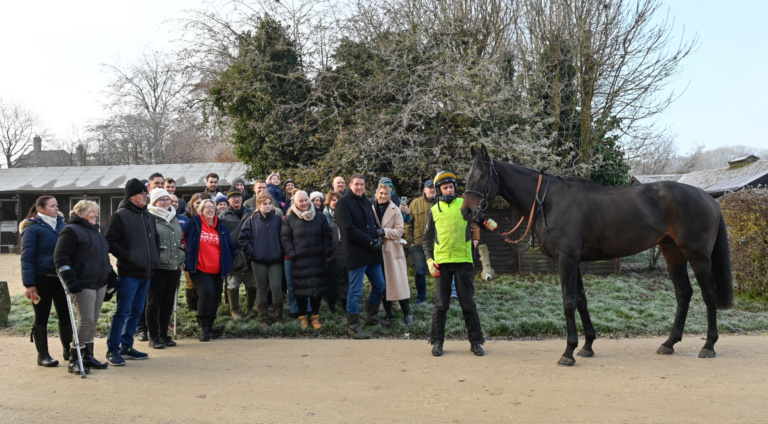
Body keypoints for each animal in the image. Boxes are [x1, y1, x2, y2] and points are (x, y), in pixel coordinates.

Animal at [462, 145, 732, 364]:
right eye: (468, 175)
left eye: (483, 175)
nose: (467, 211)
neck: (549, 201)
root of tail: (709, 199)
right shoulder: (575, 261)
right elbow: (581, 301)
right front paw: (587, 345)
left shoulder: (567, 259)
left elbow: (569, 302)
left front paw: (568, 352)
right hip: (672, 252)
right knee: (683, 293)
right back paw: (669, 343)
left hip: (697, 256)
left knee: (709, 293)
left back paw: (709, 346)